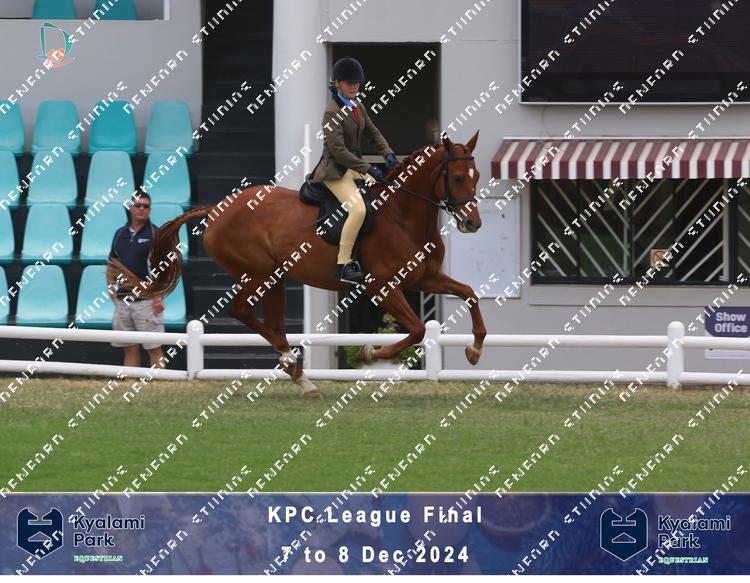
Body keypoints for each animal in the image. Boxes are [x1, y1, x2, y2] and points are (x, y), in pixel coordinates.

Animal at [118, 132, 487, 397]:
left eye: (477, 175)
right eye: (456, 177)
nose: (473, 224)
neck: (402, 216)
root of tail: (218, 208)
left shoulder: (425, 278)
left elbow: (469, 294)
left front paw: (474, 351)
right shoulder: (383, 287)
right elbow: (418, 330)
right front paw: (369, 354)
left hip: (275, 278)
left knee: (272, 322)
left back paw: (299, 373)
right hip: (258, 274)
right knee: (242, 312)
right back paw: (294, 367)